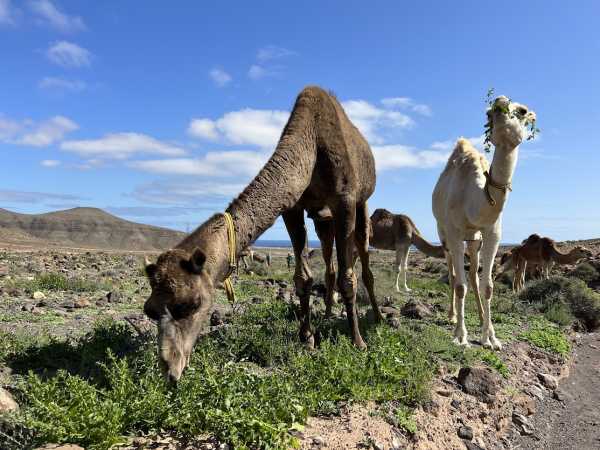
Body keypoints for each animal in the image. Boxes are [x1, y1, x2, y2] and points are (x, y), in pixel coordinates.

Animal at [143, 86, 382, 382]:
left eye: (192, 304)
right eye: (150, 310)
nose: (170, 369)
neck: (312, 146)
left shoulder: (345, 200)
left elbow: (349, 278)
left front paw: (358, 342)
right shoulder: (293, 207)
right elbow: (302, 278)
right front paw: (307, 338)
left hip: (362, 202)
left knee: (363, 255)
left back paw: (378, 316)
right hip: (322, 220)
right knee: (328, 260)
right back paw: (327, 314)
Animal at [434, 94, 536, 348]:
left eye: (522, 110)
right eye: (488, 113)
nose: (499, 103)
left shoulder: (492, 233)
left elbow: (488, 286)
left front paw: (490, 337)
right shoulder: (454, 231)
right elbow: (460, 285)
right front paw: (460, 336)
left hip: (474, 239)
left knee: (472, 274)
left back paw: (481, 318)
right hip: (443, 233)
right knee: (453, 274)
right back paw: (452, 316)